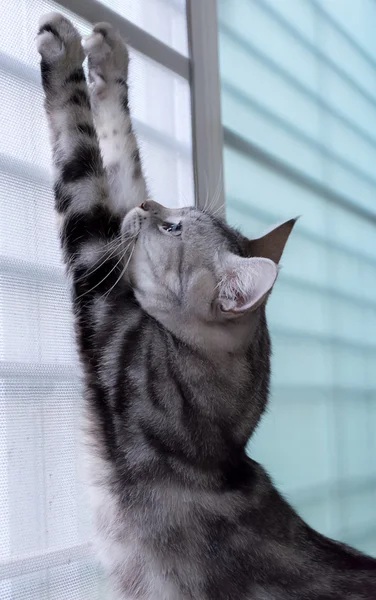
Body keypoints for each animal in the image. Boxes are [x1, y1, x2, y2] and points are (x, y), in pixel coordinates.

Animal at [36, 12, 376, 600]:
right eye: (171, 208)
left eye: (174, 227)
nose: (151, 205)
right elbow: (122, 155)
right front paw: (109, 57)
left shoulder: (104, 282)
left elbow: (83, 152)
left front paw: (65, 50)